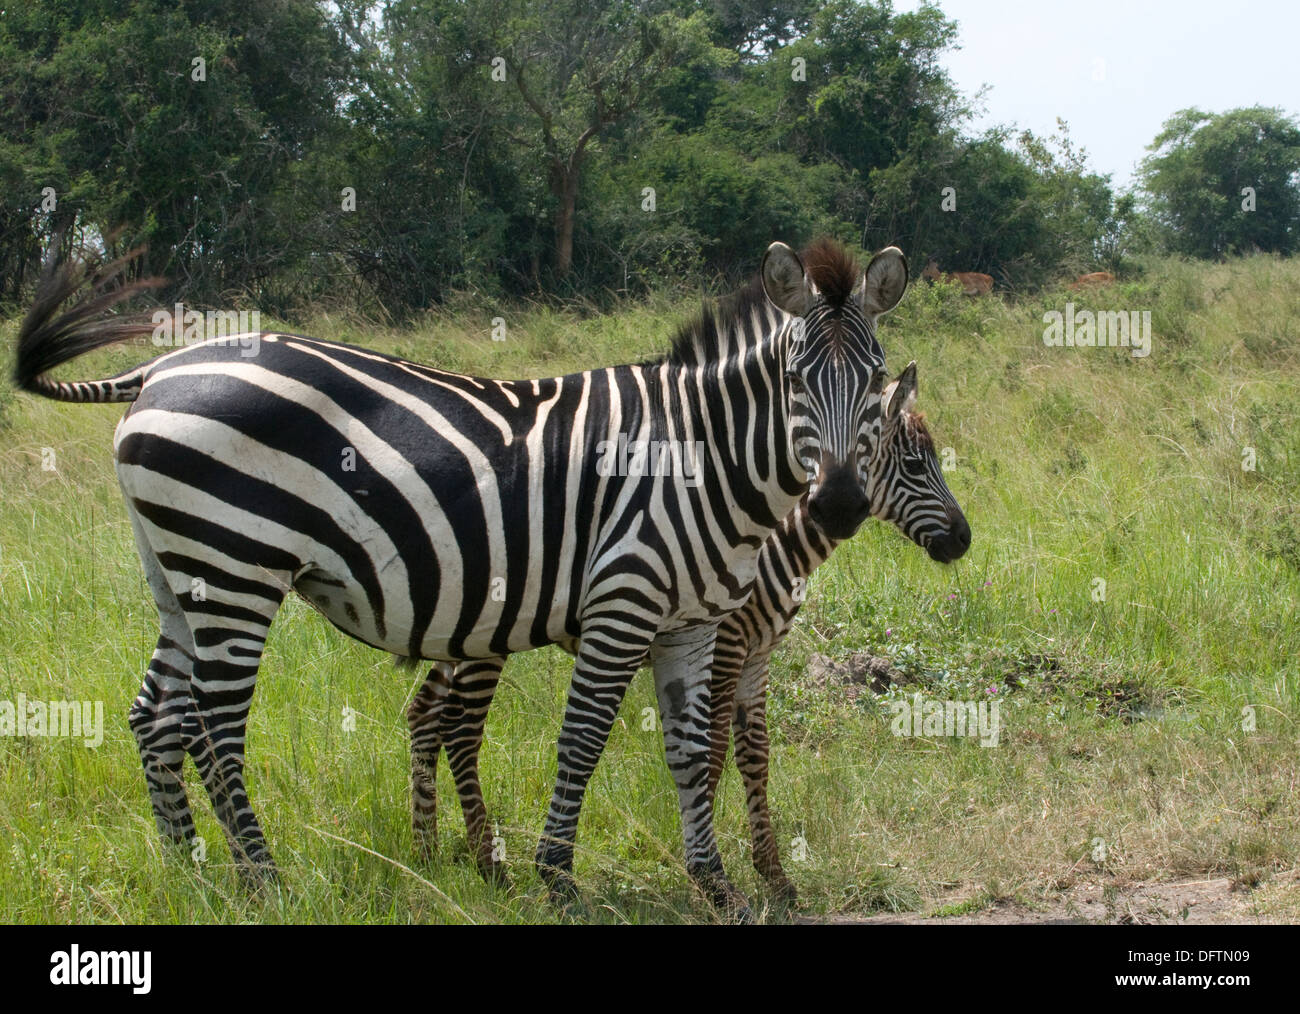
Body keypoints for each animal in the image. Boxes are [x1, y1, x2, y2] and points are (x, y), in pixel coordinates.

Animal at [12, 236, 907, 914]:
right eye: (794, 380)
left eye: (875, 381)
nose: (837, 505)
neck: (700, 459)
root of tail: (160, 370)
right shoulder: (622, 605)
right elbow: (582, 741)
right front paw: (557, 880)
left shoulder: (690, 623)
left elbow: (691, 753)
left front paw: (717, 887)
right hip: (235, 564)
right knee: (215, 721)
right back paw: (263, 880)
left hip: (181, 574)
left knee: (154, 715)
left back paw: (190, 869)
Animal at [406, 361, 969, 899]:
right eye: (916, 464)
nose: (964, 539)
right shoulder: (725, 645)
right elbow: (713, 750)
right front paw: (708, 862)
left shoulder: (757, 654)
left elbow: (755, 753)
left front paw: (773, 874)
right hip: (486, 640)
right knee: (460, 729)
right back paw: (487, 865)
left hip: (455, 630)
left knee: (424, 713)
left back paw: (427, 854)